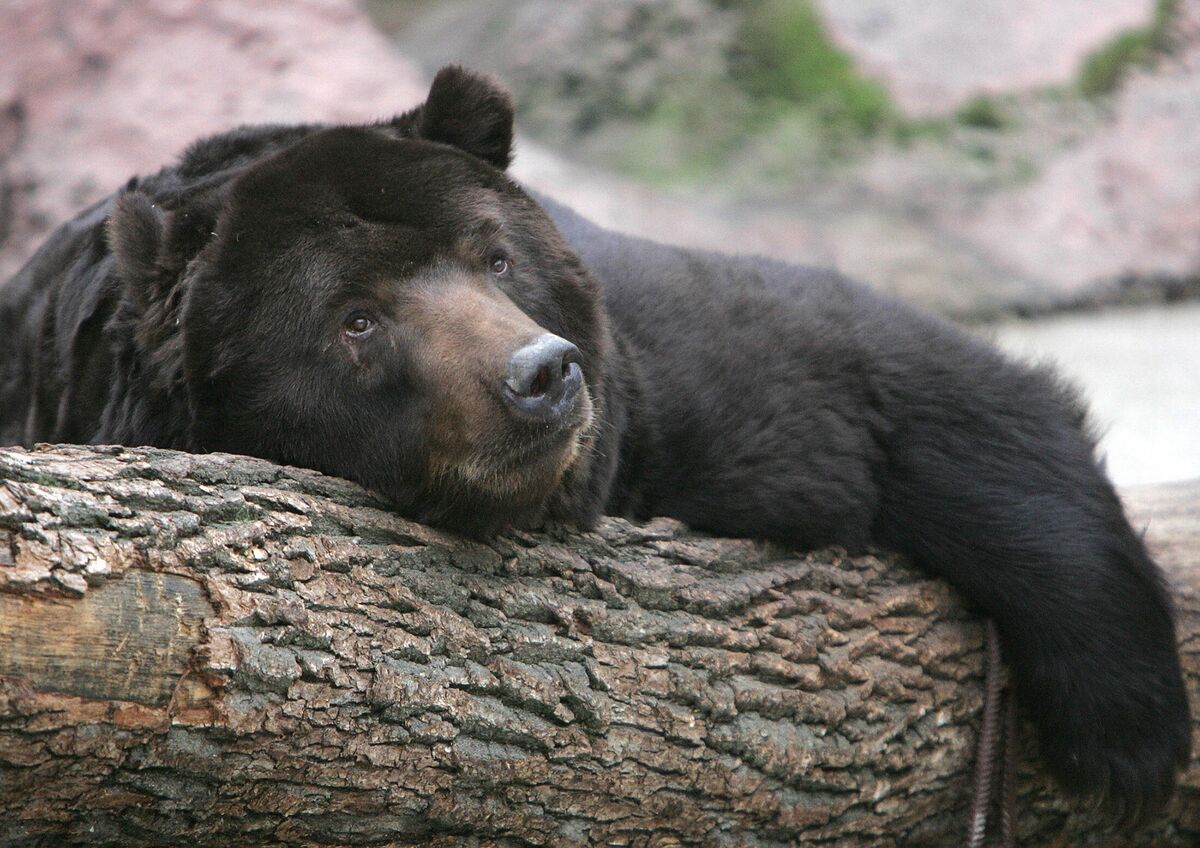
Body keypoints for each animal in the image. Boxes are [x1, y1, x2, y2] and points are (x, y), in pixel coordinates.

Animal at [0, 62, 1190, 820]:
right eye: (355, 319)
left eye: (493, 256)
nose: (540, 375)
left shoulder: (665, 387)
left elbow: (895, 385)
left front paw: (1126, 738)